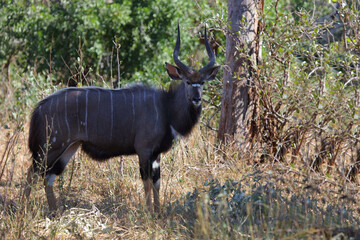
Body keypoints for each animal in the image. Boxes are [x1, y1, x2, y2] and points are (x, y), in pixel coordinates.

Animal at [23, 24, 219, 212]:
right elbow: (147, 182)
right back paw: (24, 211)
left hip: (69, 147)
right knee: (32, 173)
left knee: (48, 177)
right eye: (187, 81)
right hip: (51, 145)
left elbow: (157, 182)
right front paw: (148, 213)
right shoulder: (144, 149)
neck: (166, 108)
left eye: (202, 82)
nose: (197, 99)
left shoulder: (156, 154)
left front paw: (158, 213)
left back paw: (55, 213)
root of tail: (40, 107)